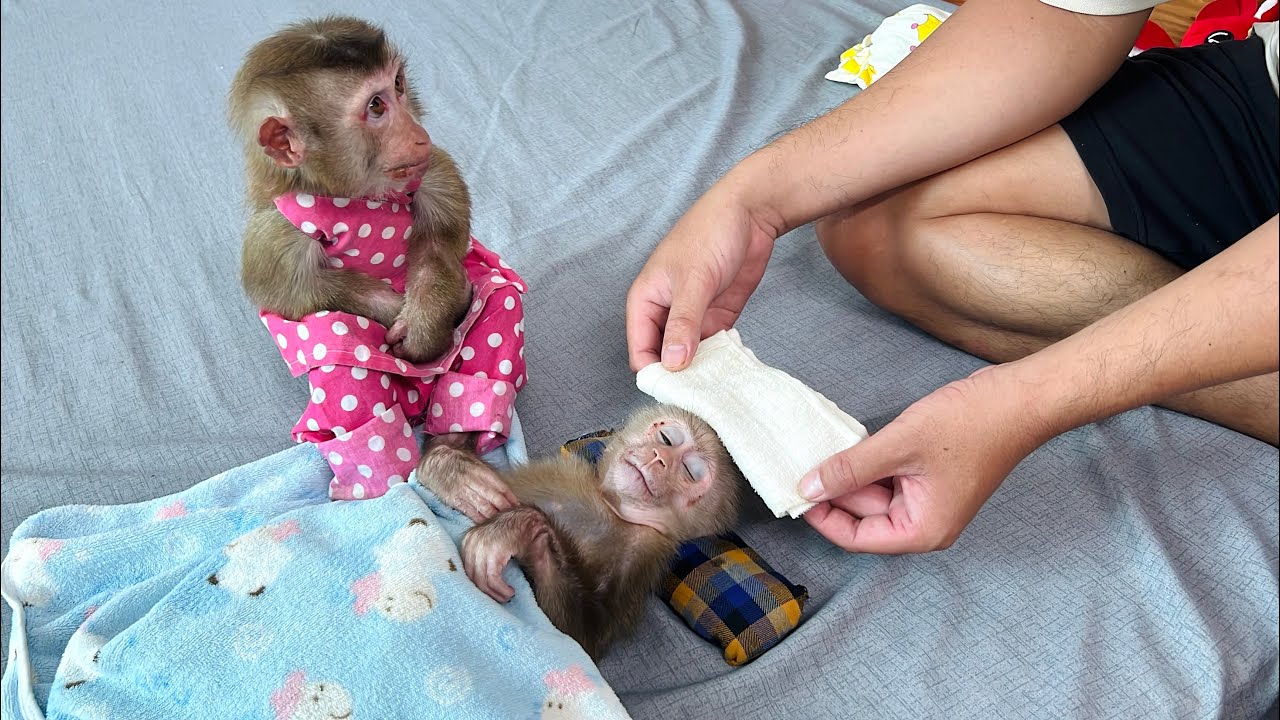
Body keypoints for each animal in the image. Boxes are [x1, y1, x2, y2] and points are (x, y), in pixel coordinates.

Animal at [420, 404, 744, 659]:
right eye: (667, 438)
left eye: (690, 471)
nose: (659, 458)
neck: (613, 507)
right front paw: (452, 468)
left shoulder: (639, 557)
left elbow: (575, 636)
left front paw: (520, 529)